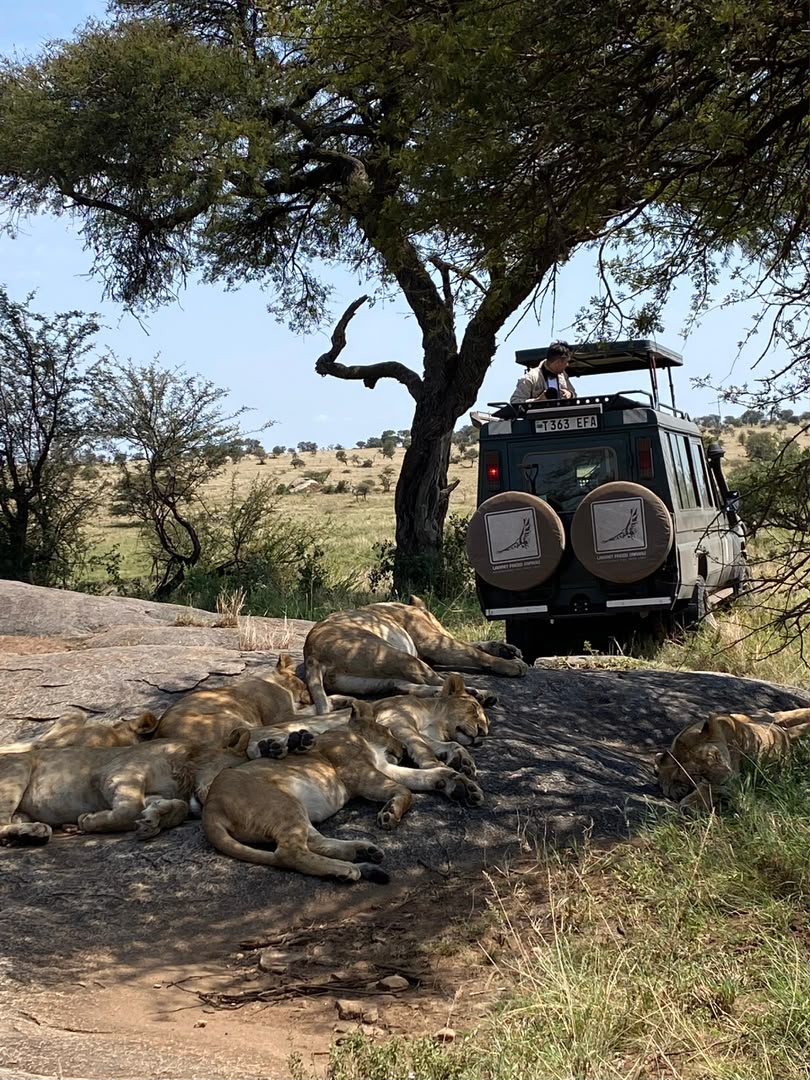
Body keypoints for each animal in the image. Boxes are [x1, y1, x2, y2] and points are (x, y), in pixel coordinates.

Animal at [0, 730, 251, 846]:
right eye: (229, 774)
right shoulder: (118, 773)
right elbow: (129, 810)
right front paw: (88, 821)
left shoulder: (152, 791)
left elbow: (176, 807)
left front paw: (154, 820)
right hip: (18, 770)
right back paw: (31, 833)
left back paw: (29, 834)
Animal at [202, 703, 485, 881]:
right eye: (388, 730)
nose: (404, 749)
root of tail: (210, 810)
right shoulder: (358, 773)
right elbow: (405, 790)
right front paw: (390, 814)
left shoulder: (381, 767)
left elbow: (419, 777)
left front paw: (456, 784)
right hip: (283, 804)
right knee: (288, 853)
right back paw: (347, 870)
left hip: (296, 811)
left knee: (314, 842)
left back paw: (362, 853)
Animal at [303, 595, 528, 712]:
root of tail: (313, 657)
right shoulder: (433, 643)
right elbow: (473, 652)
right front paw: (513, 665)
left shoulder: (432, 648)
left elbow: (473, 644)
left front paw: (508, 649)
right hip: (398, 656)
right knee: (441, 683)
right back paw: (480, 694)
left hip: (382, 676)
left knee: (410, 687)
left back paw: (476, 694)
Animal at [655, 707, 810, 811]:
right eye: (699, 774)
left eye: (717, 756)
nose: (726, 778)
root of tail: (785, 733)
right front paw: (672, 786)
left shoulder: (735, 778)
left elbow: (709, 788)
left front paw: (691, 802)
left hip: (753, 717)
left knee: (779, 714)